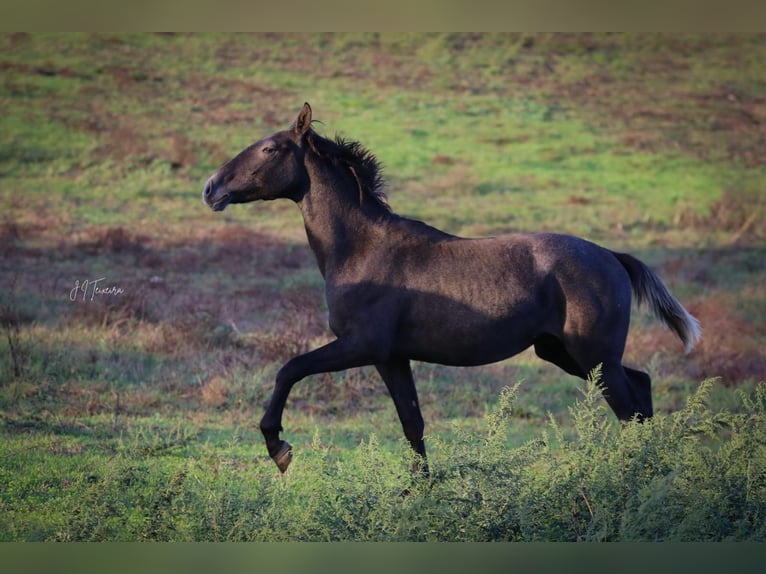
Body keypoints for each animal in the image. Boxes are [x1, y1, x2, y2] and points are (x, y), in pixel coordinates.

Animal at [202, 103, 704, 476]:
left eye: (269, 148)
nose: (211, 189)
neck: (362, 248)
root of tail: (612, 257)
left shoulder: (360, 345)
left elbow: (289, 369)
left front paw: (280, 450)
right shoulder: (391, 357)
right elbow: (413, 423)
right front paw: (418, 490)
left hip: (592, 355)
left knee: (630, 404)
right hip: (563, 353)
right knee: (640, 387)